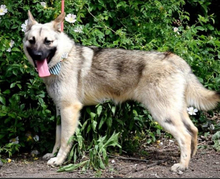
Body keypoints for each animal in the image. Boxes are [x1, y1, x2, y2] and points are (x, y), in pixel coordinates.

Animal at [23, 10, 219, 172]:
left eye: (48, 41)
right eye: (31, 41)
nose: (38, 56)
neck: (63, 58)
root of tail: (172, 57)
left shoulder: (69, 110)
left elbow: (65, 140)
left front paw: (59, 160)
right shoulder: (60, 110)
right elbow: (58, 137)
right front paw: (53, 154)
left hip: (163, 115)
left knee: (185, 136)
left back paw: (182, 166)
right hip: (177, 111)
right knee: (193, 131)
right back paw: (190, 158)